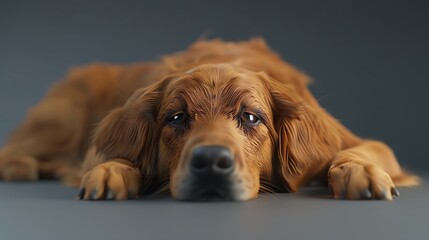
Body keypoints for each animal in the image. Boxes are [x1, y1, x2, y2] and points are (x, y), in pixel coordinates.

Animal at [0, 39, 418, 201]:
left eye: (250, 117)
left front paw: (359, 171)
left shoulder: (353, 139)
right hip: (67, 115)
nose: (211, 163)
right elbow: (110, 157)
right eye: (176, 118)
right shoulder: (96, 145)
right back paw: (23, 166)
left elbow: (362, 150)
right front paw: (112, 171)